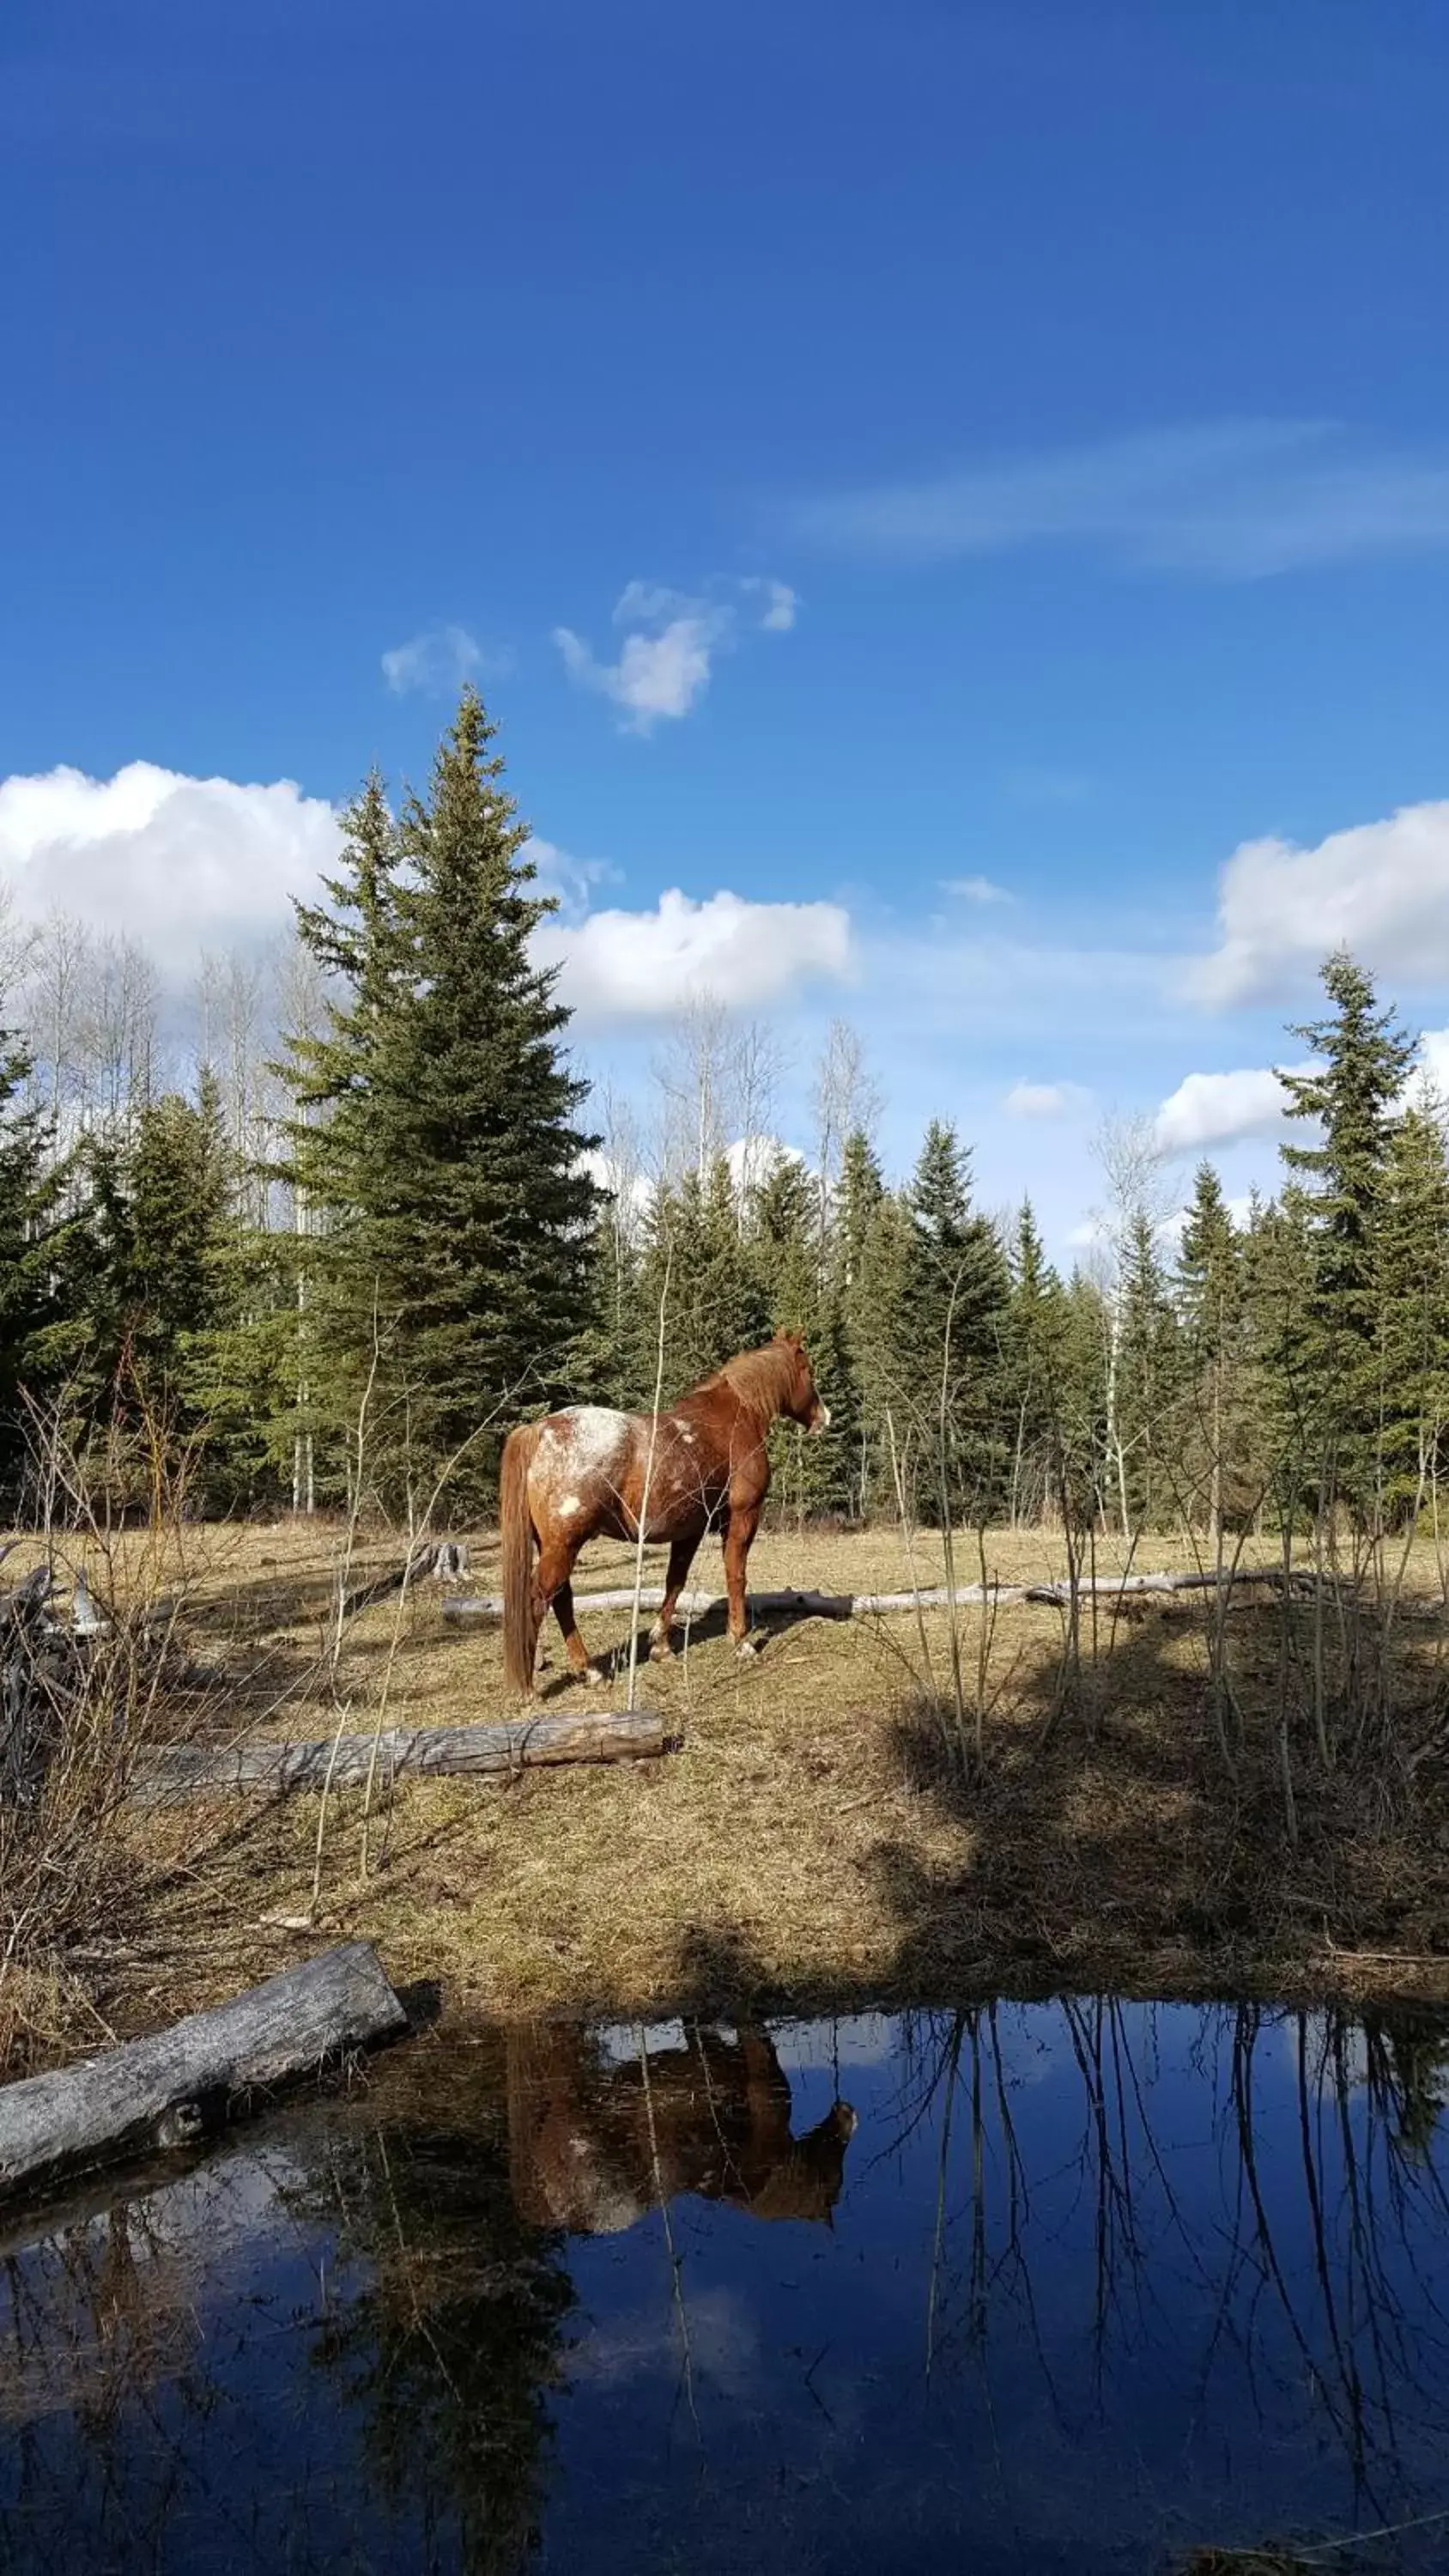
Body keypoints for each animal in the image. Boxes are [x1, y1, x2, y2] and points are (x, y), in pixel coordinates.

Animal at [504, 1340, 834, 1700]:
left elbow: (674, 1581)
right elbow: (736, 1576)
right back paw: (531, 1687)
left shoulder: (689, 1530)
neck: (734, 1416)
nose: (824, 1418)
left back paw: (590, 1671)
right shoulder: (742, 1518)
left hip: (555, 1547)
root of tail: (540, 1430)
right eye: (809, 1371)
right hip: (564, 1546)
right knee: (540, 1599)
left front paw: (660, 1647)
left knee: (562, 1598)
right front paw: (741, 1641)